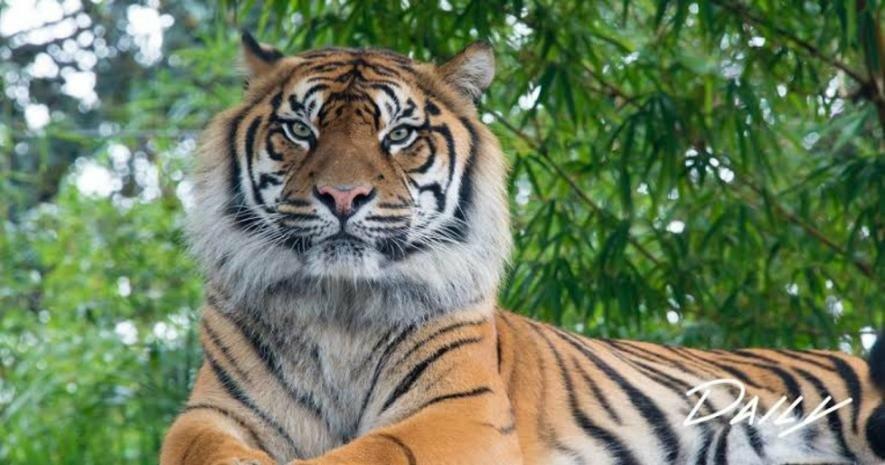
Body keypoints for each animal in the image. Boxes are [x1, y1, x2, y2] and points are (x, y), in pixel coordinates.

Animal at [159, 31, 885, 465]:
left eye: (400, 134)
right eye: (299, 129)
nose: (342, 195)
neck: (339, 305)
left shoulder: (457, 412)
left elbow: (366, 453)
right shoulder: (210, 414)